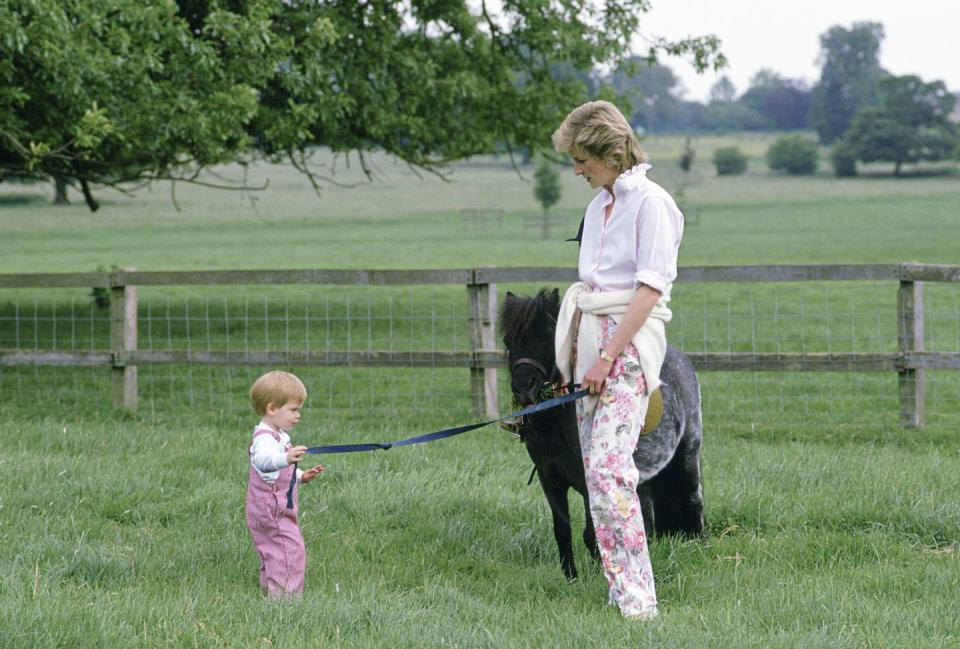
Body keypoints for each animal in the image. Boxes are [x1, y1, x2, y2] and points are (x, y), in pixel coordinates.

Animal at [502, 286, 704, 580]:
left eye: (549, 336)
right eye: (508, 341)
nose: (523, 388)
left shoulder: (588, 482)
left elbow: (592, 534)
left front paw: (602, 575)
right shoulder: (549, 479)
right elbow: (562, 530)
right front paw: (571, 578)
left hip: (688, 453)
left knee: (693, 498)